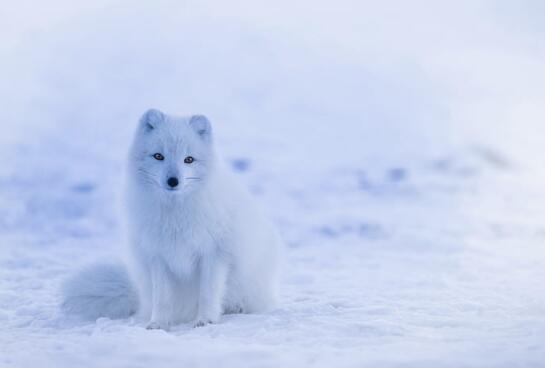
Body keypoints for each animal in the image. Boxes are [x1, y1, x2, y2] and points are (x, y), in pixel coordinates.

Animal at [62, 108, 282, 328]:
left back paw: (236, 308)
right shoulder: (158, 256)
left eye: (189, 159)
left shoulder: (214, 254)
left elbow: (208, 293)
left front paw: (205, 320)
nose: (173, 181)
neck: (175, 214)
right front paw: (158, 323)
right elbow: (162, 298)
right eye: (158, 156)